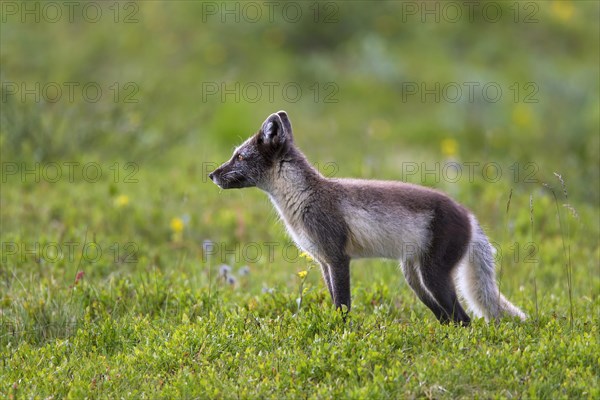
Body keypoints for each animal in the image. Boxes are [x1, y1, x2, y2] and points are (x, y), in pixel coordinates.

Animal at [210, 111, 524, 324]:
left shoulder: (338, 258)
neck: (303, 199)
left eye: (239, 157)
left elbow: (343, 305)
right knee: (448, 318)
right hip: (416, 280)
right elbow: (335, 301)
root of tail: (469, 215)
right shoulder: (324, 262)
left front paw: (341, 334)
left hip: (434, 276)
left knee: (463, 319)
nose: (211, 174)